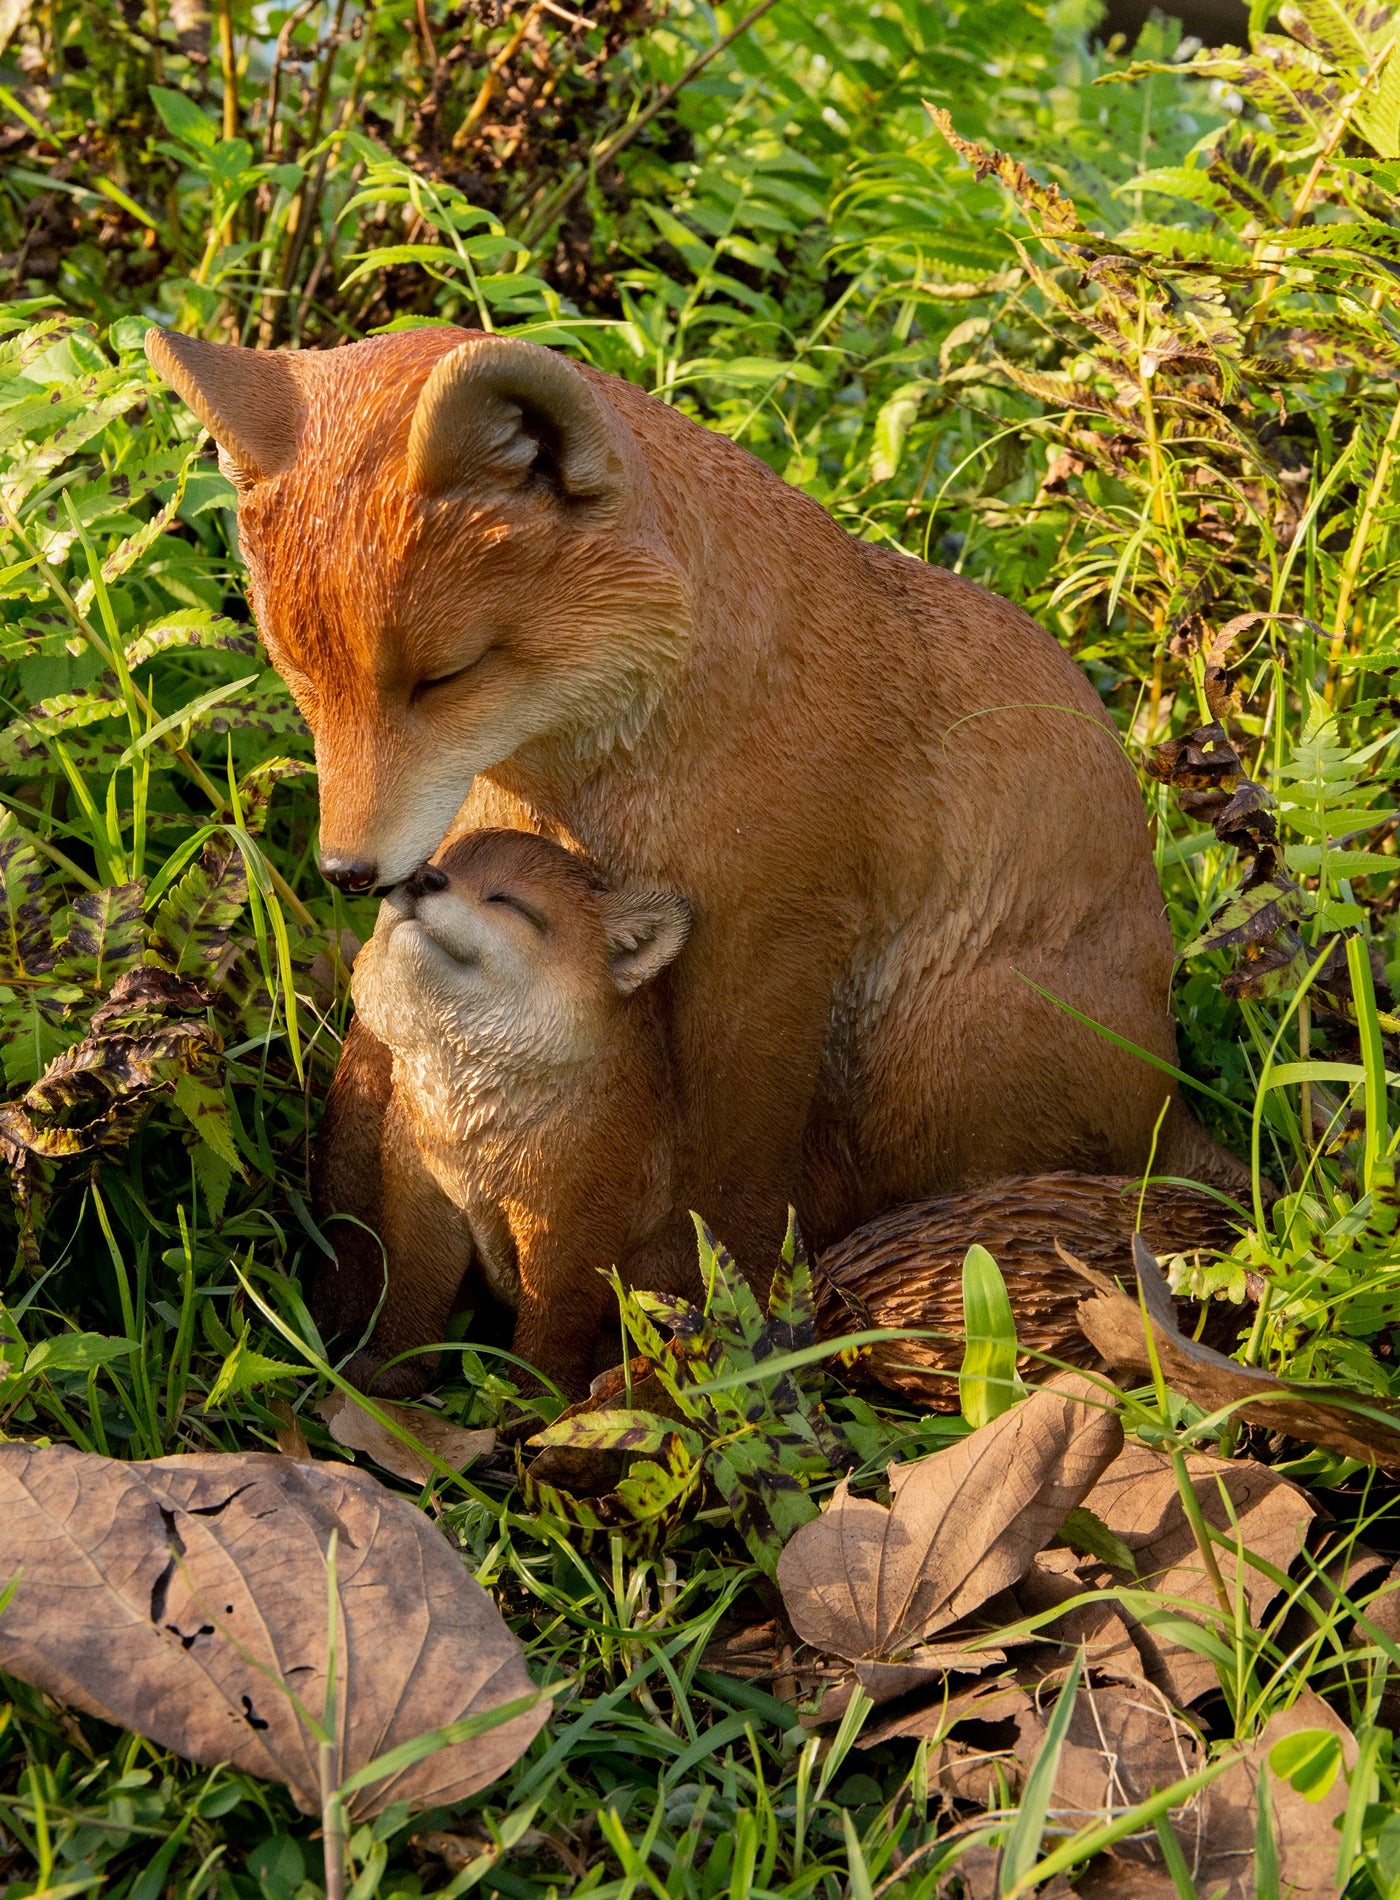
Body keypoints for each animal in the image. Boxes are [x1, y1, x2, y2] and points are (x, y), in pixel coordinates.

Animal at [146, 322, 1245, 1326]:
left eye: (443, 678)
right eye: (301, 677)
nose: (347, 870)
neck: (611, 785)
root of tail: (1170, 1086)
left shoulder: (770, 942)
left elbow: (732, 1186)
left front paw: (719, 1335)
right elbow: (365, 1117)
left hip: (940, 1048)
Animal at [318, 828, 696, 1398]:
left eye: (508, 902)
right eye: (437, 861)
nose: (423, 878)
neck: (471, 1145)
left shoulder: (569, 1224)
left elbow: (556, 1326)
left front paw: (538, 1402)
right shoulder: (421, 1197)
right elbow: (411, 1292)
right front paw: (392, 1369)